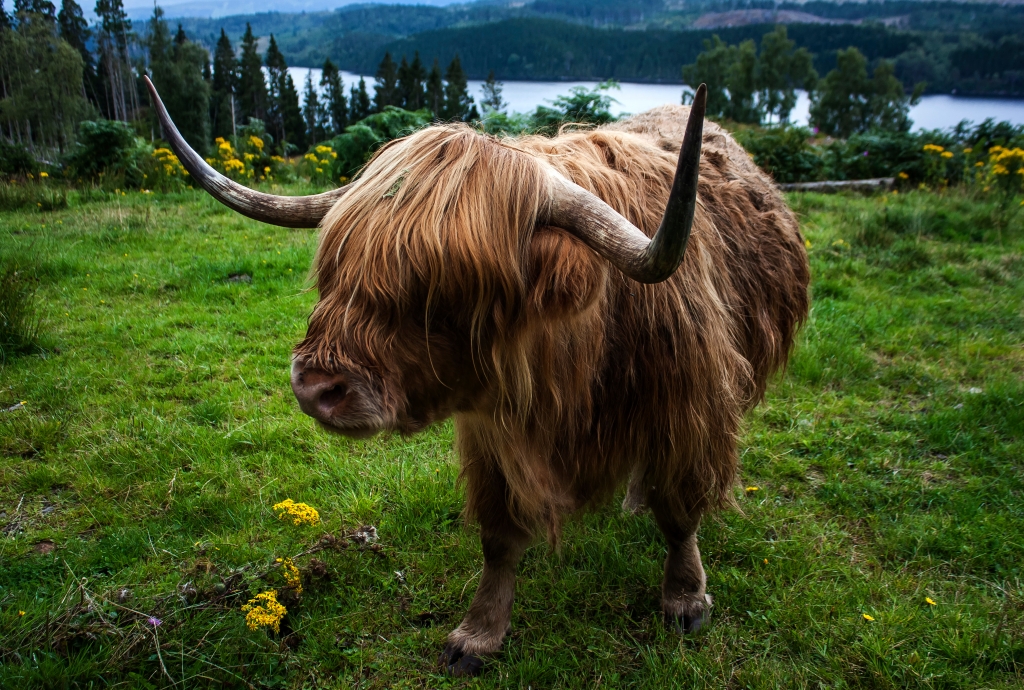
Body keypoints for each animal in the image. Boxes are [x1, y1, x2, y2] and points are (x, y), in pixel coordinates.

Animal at [145, 76, 809, 676]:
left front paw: (685, 598)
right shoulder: (492, 432)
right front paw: (479, 633)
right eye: (335, 268)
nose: (315, 389)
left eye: (447, 294)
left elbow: (680, 514)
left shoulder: (688, 409)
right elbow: (498, 535)